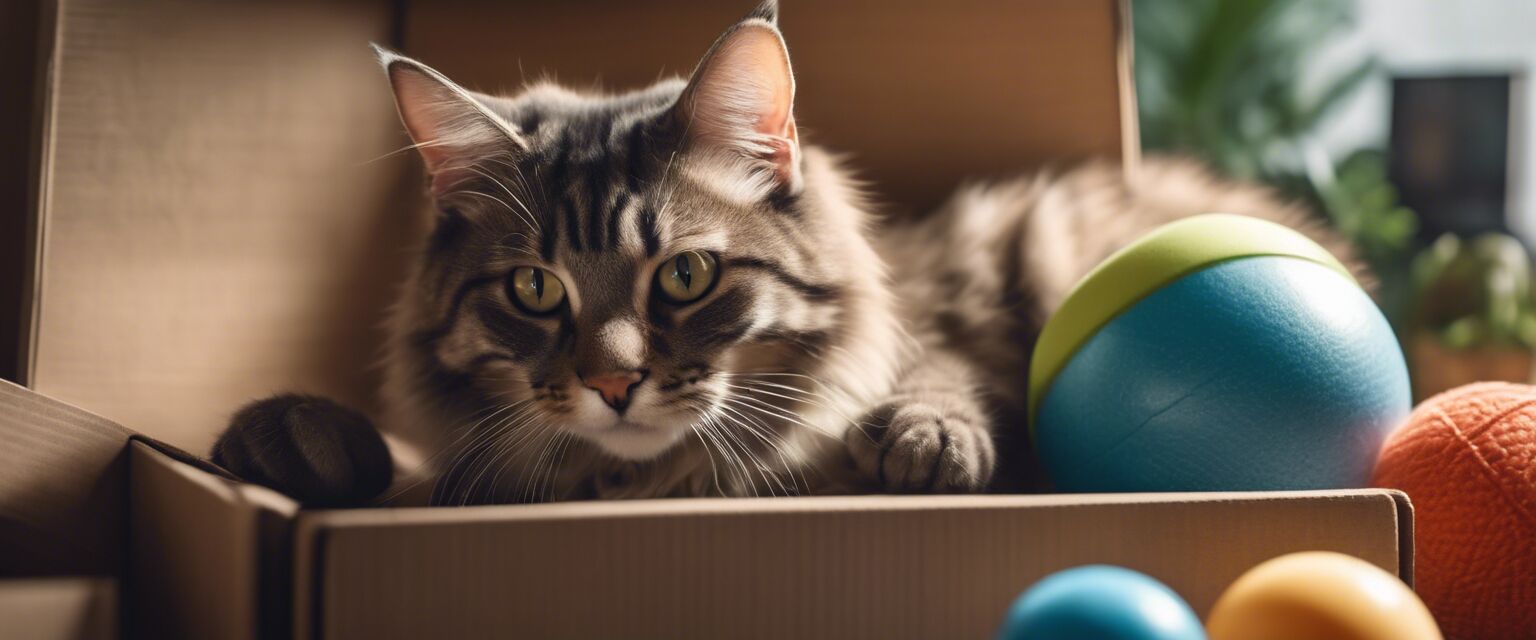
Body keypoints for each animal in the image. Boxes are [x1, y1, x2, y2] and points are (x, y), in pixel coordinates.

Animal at [207, 2, 1357, 506]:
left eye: (685, 275)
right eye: (534, 289)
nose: (612, 384)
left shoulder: (950, 311)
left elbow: (941, 376)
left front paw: (922, 437)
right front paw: (285, 437)